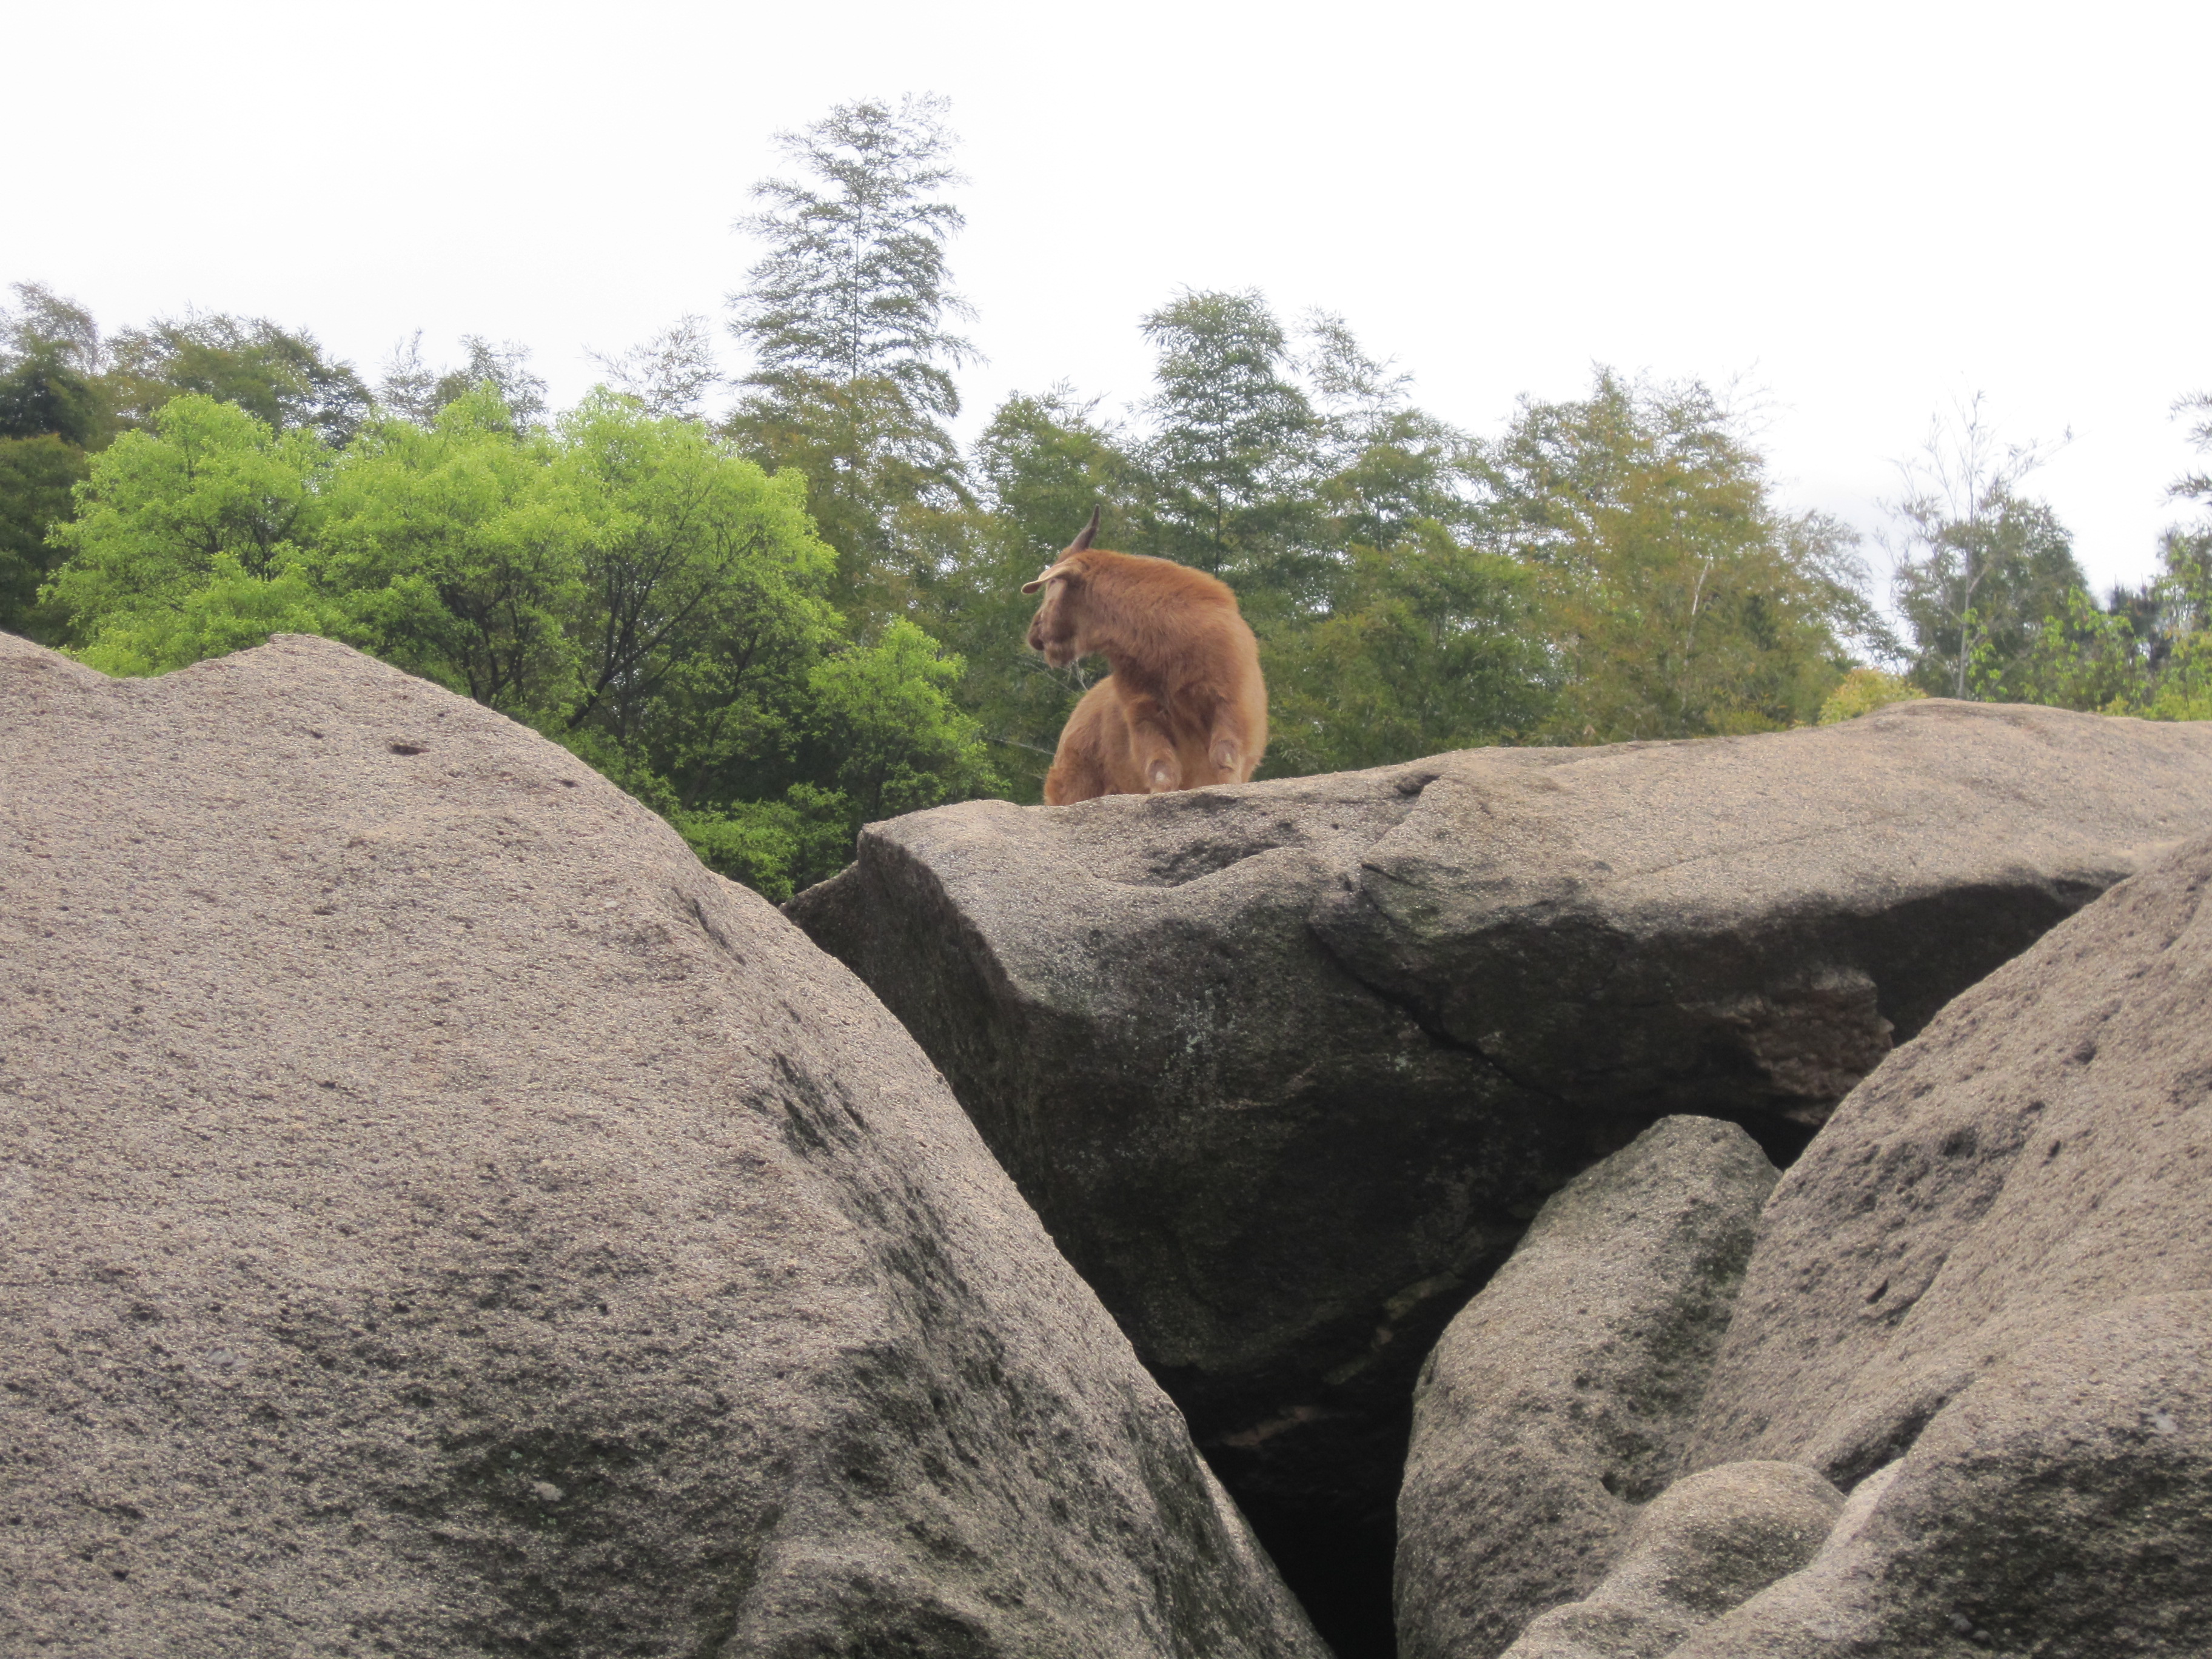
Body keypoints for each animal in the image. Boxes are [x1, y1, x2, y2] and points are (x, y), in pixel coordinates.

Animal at [1017, 513, 1265, 814]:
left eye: (1053, 584)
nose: (1034, 632)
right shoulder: (1144, 713)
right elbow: (1161, 768)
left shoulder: (1230, 702)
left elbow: (1224, 757)